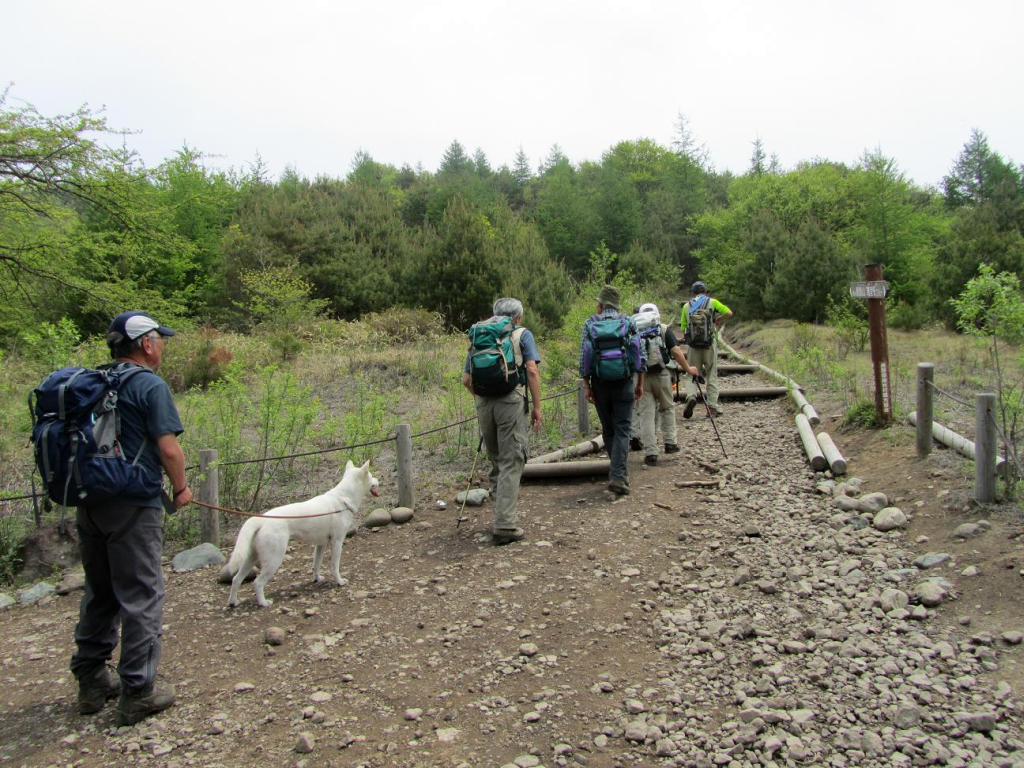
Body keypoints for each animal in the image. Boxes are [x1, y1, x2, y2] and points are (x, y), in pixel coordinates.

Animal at [223, 460, 380, 610]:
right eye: (371, 476)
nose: (378, 480)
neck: (343, 499)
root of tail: (260, 519)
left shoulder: (321, 545)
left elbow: (316, 565)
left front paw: (317, 579)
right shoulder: (337, 542)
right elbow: (334, 567)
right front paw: (340, 582)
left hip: (251, 558)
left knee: (236, 579)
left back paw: (233, 602)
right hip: (274, 559)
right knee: (257, 582)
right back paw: (263, 603)